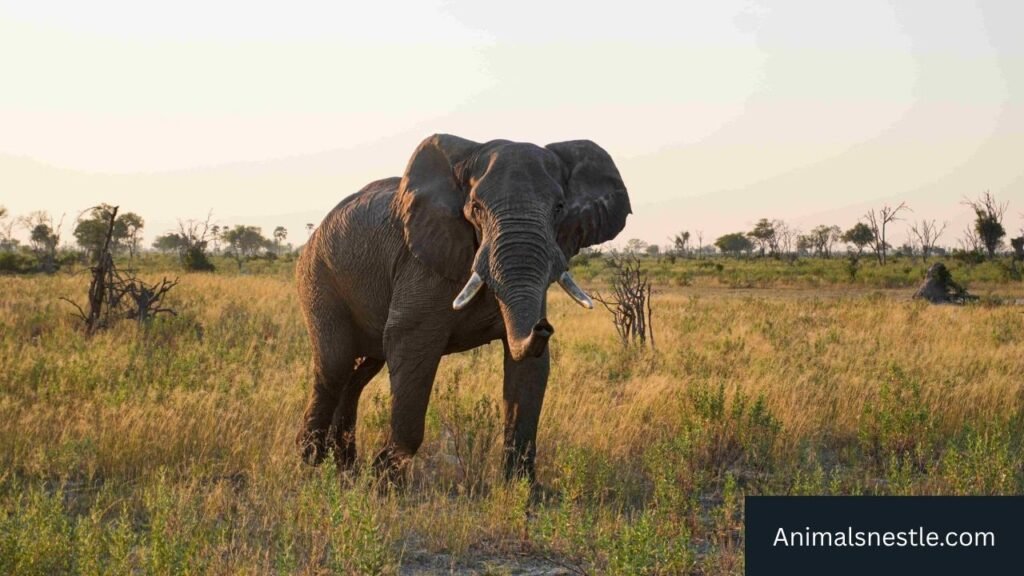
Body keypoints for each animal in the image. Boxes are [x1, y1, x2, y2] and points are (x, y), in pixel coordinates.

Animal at [296, 134, 631, 484]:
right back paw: (311, 467)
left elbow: (529, 371)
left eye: (559, 208)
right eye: (475, 208)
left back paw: (344, 468)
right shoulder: (421, 264)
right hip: (319, 279)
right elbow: (411, 346)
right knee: (334, 367)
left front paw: (523, 490)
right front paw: (384, 483)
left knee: (360, 371)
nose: (544, 327)